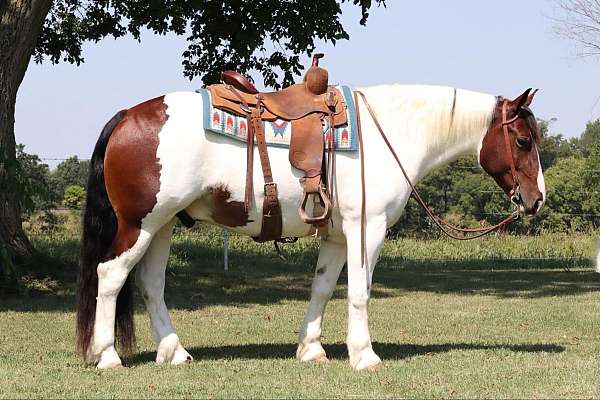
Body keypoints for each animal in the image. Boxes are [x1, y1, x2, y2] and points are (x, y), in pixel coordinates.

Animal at [75, 83, 544, 368]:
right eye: (523, 140)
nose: (537, 198)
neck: (388, 134)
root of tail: (127, 116)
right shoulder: (366, 229)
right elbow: (359, 292)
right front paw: (364, 356)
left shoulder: (337, 237)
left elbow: (322, 288)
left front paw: (311, 349)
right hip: (139, 225)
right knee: (110, 276)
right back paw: (108, 356)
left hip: (163, 226)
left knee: (150, 285)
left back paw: (174, 352)